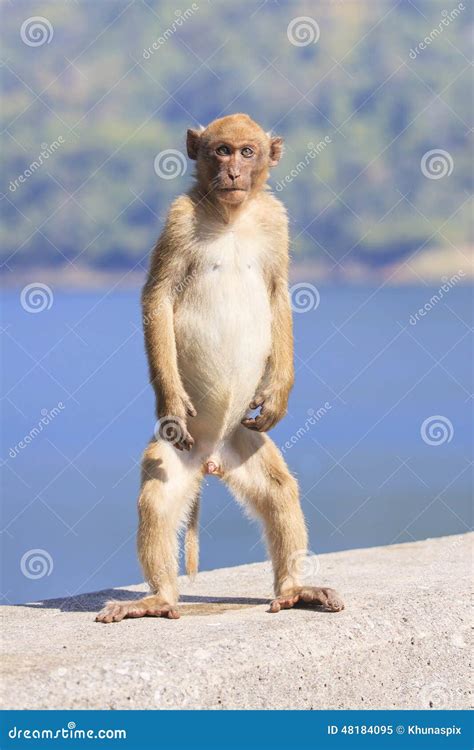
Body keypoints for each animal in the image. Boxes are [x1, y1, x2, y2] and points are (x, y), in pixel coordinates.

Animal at [96, 114, 344, 623]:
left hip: (243, 444)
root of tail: (211, 459)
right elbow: (157, 297)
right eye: (221, 150)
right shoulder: (178, 218)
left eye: (247, 152)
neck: (232, 218)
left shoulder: (275, 220)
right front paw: (171, 399)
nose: (232, 172)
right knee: (158, 494)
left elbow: (279, 295)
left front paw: (279, 394)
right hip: (181, 451)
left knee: (279, 490)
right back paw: (159, 598)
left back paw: (294, 589)